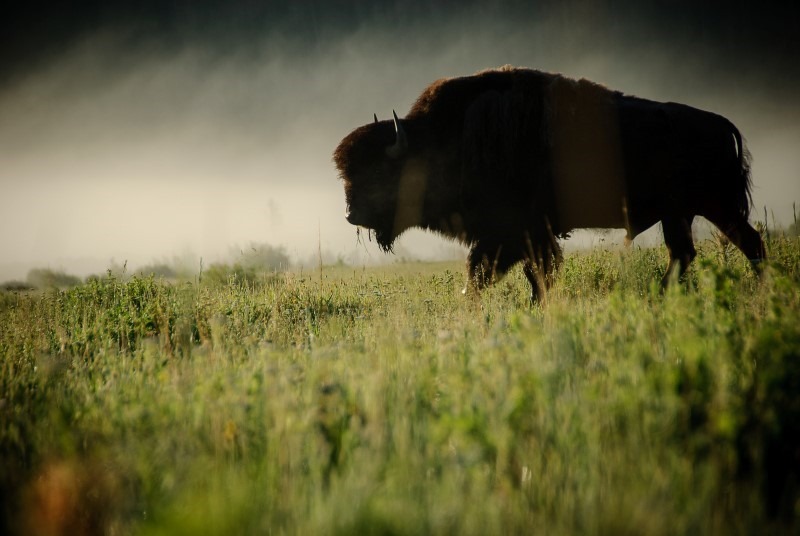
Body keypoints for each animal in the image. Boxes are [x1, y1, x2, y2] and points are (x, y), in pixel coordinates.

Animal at [333, 66, 766, 301]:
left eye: (380, 173)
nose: (353, 215)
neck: (440, 142)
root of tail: (721, 124)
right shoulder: (520, 237)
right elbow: (519, 274)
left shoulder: (514, 233)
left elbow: (498, 274)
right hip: (681, 214)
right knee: (687, 253)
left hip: (714, 206)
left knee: (748, 243)